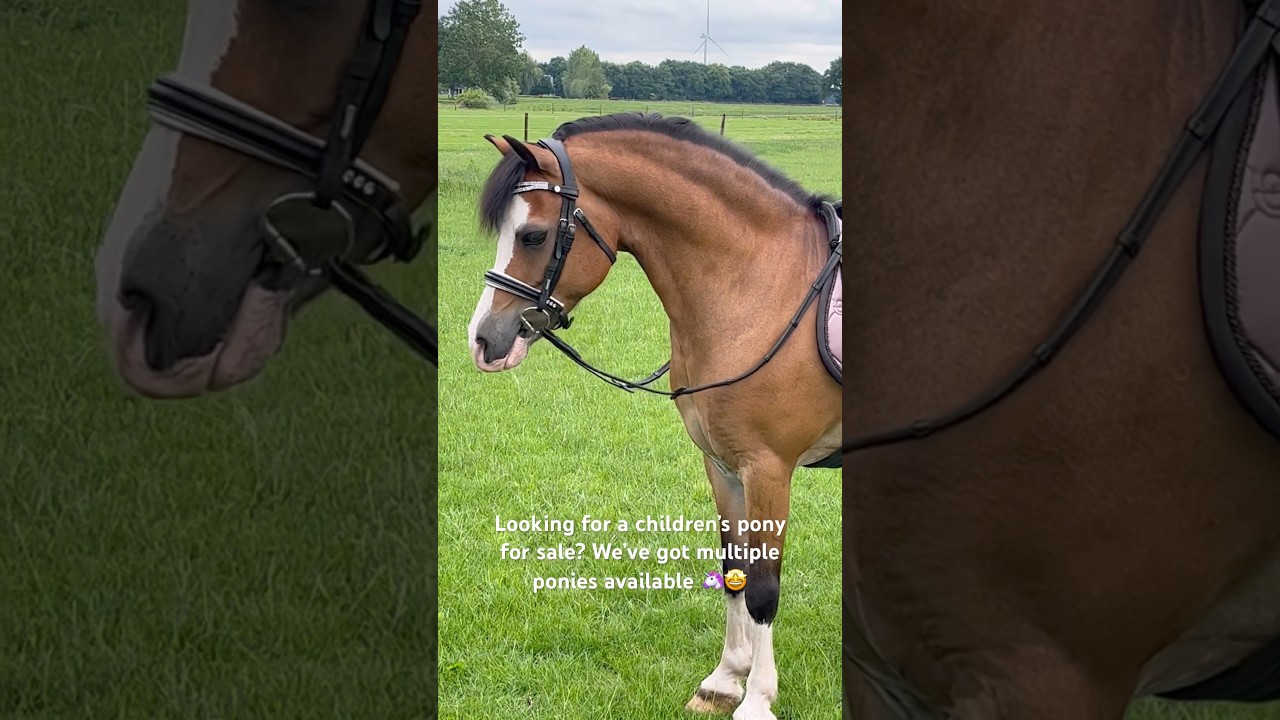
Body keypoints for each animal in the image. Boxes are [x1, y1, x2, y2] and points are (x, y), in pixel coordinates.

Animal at [467, 114, 843, 720]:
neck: (763, 285)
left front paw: (757, 700)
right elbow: (735, 571)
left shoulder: (768, 468)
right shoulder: (723, 466)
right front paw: (723, 681)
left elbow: (763, 586)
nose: (483, 340)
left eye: (533, 236)